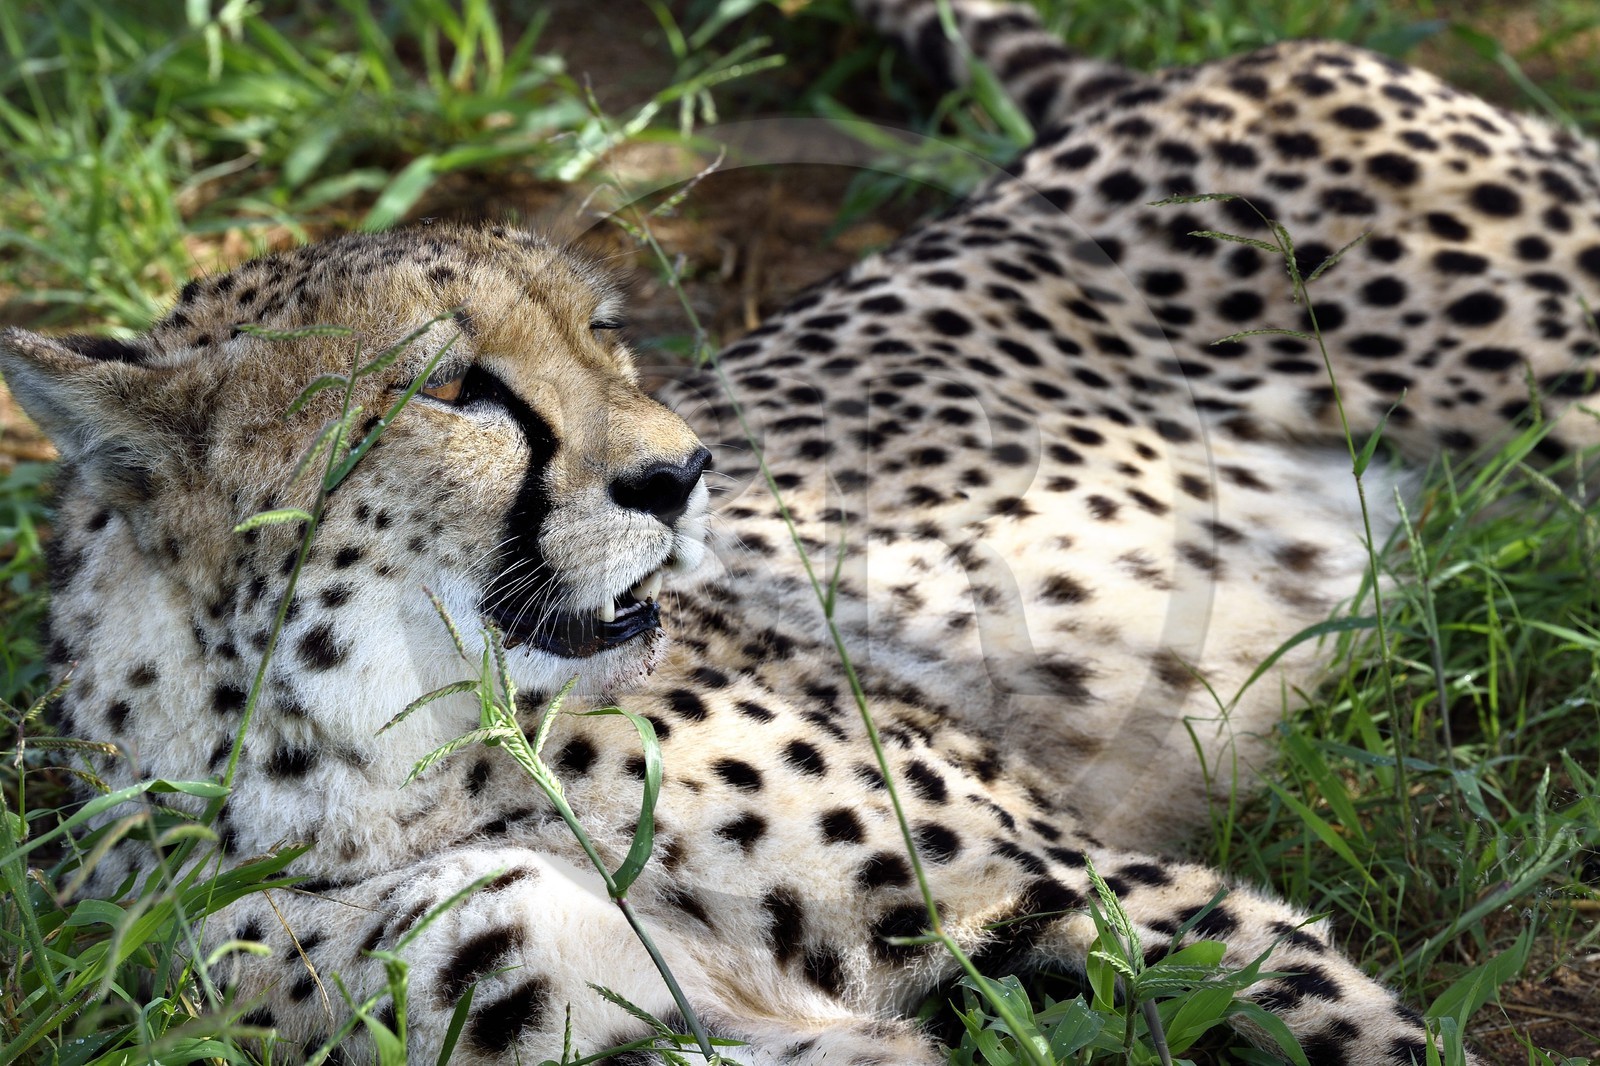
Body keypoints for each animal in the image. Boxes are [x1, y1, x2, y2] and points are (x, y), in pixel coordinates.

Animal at [4, 0, 1597, 1063]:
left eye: (602, 335)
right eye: (460, 389)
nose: (683, 473)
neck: (368, 757)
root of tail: (1207, 74)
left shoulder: (1054, 888)